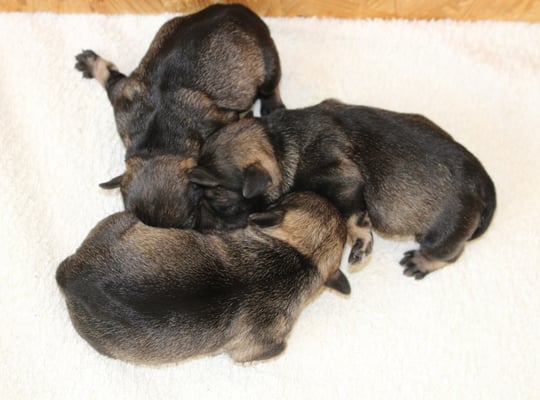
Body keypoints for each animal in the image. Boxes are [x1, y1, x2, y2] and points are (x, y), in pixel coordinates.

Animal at [75, 4, 284, 228]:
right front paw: (91, 63)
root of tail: (240, 9)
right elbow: (108, 74)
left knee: (271, 86)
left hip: (268, 64)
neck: (157, 148)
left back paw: (273, 105)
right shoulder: (122, 97)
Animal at [189, 99, 497, 279]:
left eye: (221, 202)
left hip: (443, 232)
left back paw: (422, 262)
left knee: (449, 253)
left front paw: (361, 245)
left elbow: (355, 218)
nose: (198, 227)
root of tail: (482, 180)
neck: (279, 144)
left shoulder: (342, 179)